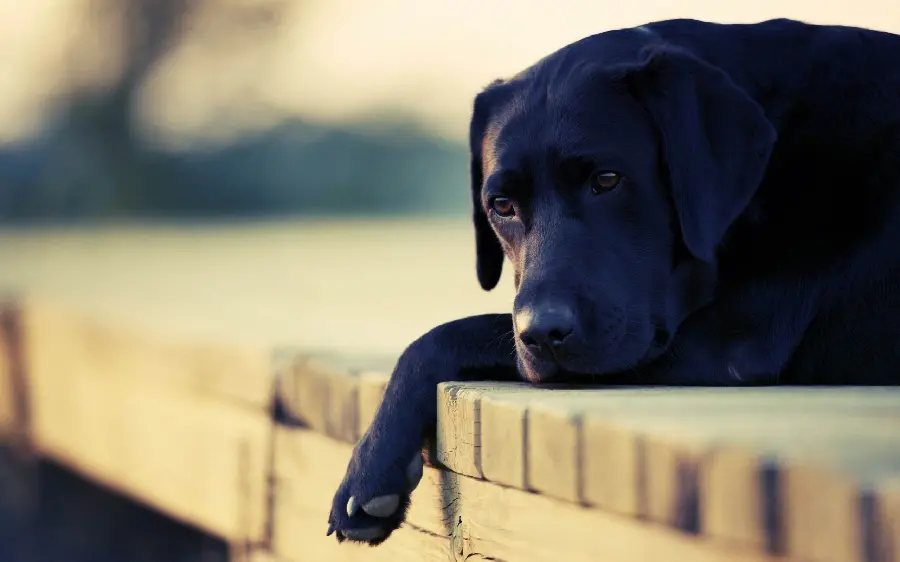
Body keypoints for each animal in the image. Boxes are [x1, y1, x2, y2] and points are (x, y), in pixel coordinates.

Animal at [326, 18, 900, 544]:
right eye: (501, 205)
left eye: (607, 180)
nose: (542, 334)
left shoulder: (729, 342)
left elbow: (446, 333)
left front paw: (370, 466)